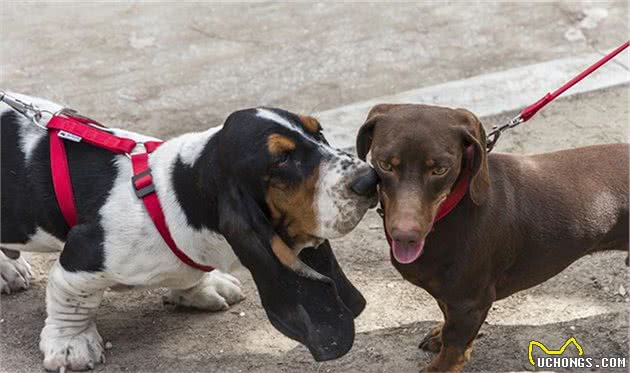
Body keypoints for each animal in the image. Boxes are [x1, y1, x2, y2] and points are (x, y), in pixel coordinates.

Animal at [1, 93, 380, 370]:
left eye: (319, 132)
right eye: (282, 160)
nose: (370, 179)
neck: (175, 195)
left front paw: (203, 289)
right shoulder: (82, 259)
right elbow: (71, 300)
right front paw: (71, 344)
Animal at [358, 103, 628, 370]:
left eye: (440, 170)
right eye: (385, 165)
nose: (405, 236)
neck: (455, 206)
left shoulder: (469, 302)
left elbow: (453, 351)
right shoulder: (456, 300)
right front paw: (441, 335)